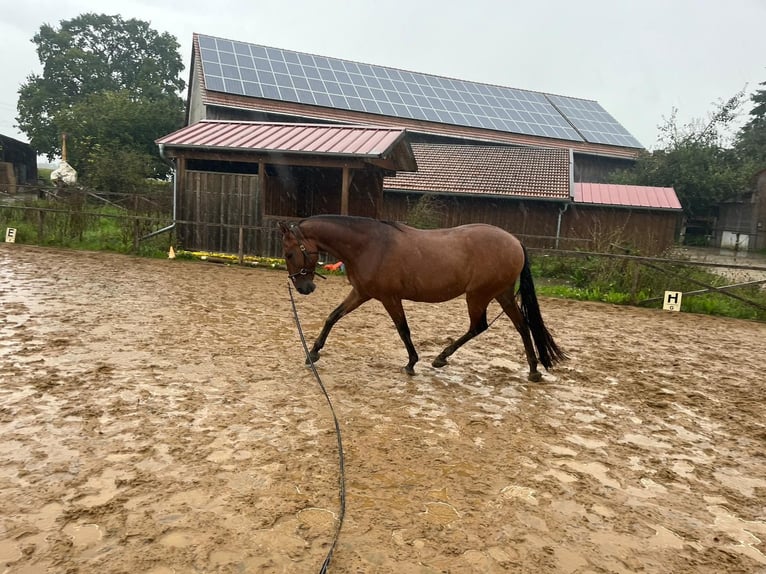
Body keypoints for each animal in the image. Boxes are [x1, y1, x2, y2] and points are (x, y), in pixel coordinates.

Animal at [280, 216, 568, 382]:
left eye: (289, 253)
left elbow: (403, 329)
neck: (370, 245)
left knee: (479, 326)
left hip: (479, 295)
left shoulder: (389, 298)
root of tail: (515, 242)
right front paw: (313, 353)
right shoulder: (362, 293)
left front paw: (411, 363)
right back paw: (533, 370)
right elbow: (332, 317)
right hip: (502, 294)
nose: (304, 288)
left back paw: (440, 358)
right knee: (522, 326)